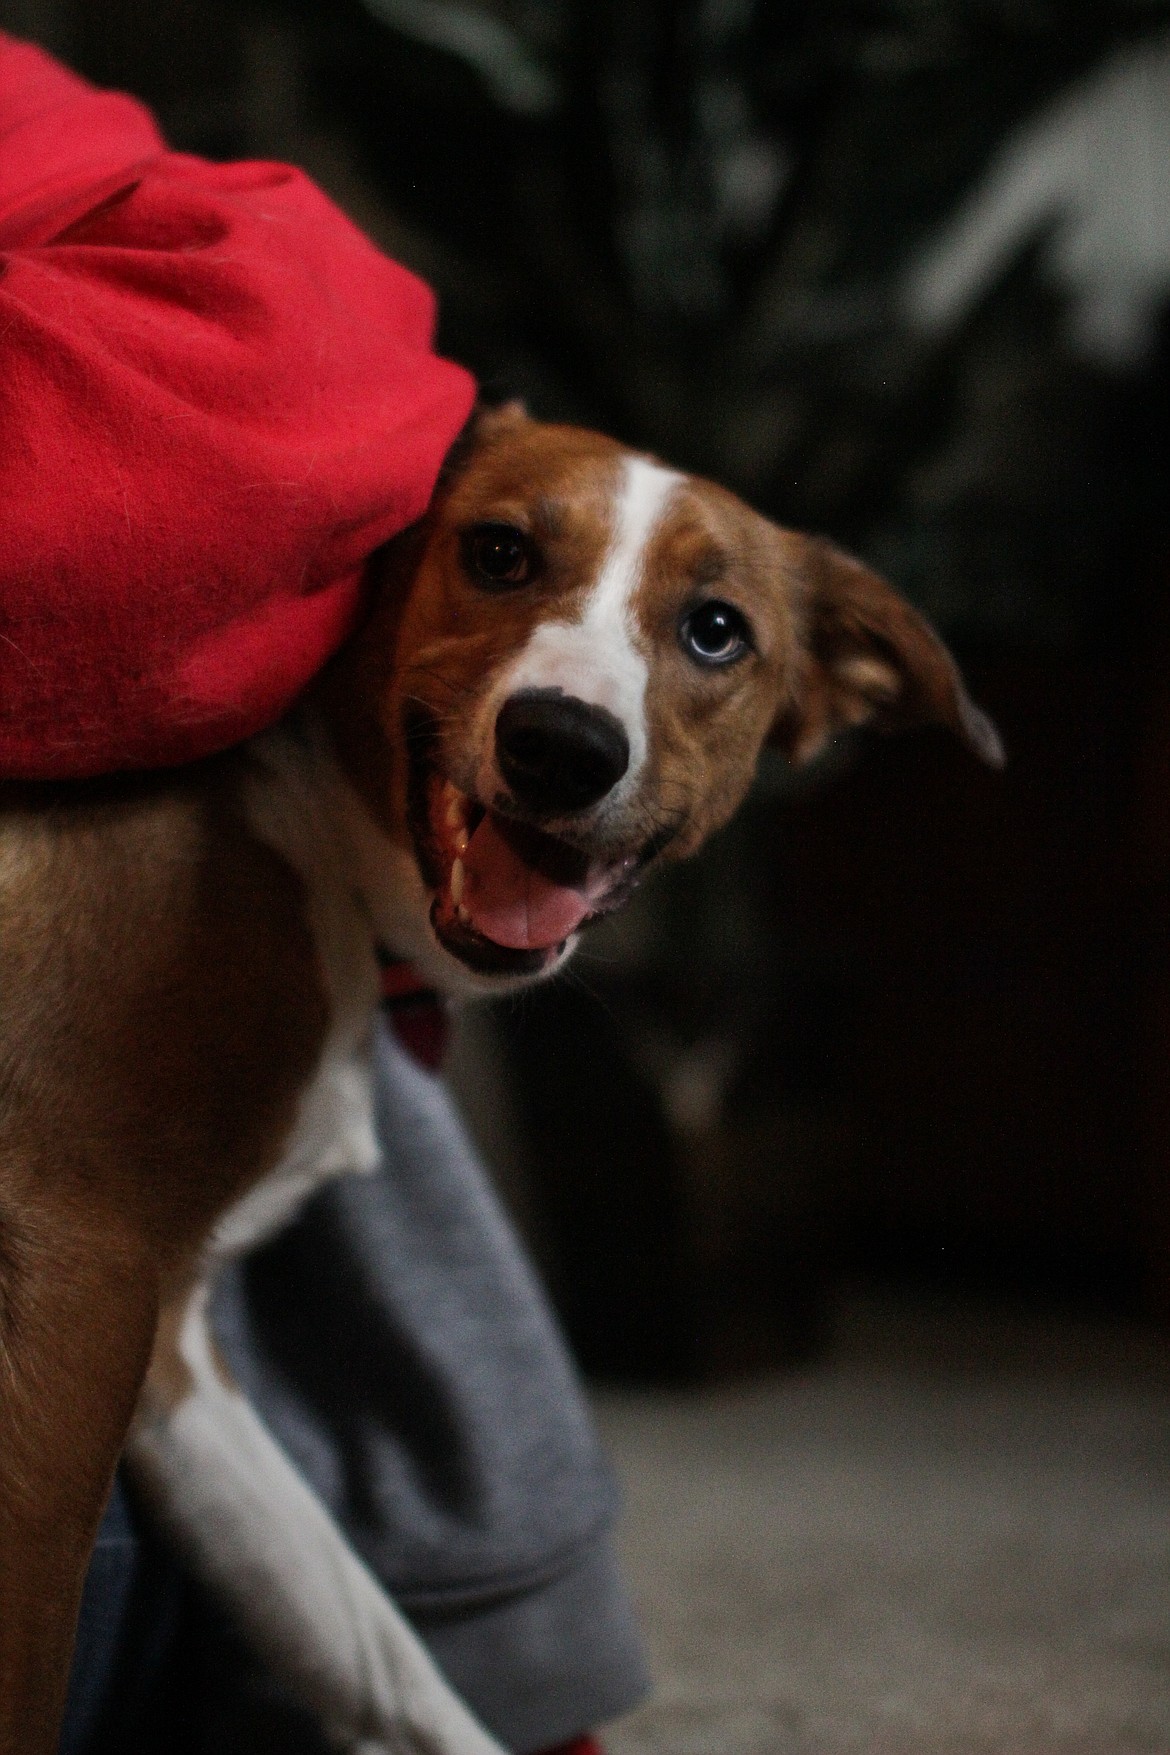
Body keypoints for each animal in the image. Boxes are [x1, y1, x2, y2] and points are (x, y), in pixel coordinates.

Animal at [0, 403, 1003, 1755]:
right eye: (499, 553)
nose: (562, 746)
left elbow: (378, 1653)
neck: (312, 840)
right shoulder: (75, 1262)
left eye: (717, 629)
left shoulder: (167, 1344)